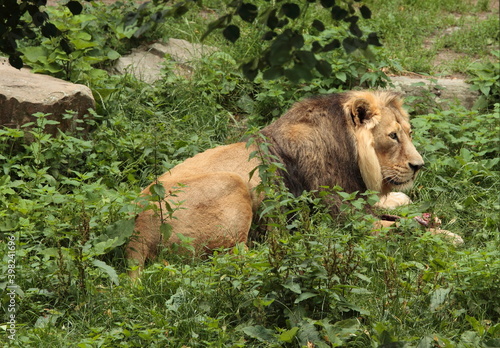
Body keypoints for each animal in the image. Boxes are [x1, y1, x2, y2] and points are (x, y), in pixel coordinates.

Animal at [126, 90, 460, 278]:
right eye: (392, 136)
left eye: (408, 133)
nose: (419, 166)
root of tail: (138, 228)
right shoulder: (343, 219)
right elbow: (404, 230)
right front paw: (447, 236)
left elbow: (399, 210)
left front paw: (423, 214)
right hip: (232, 181)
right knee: (236, 257)